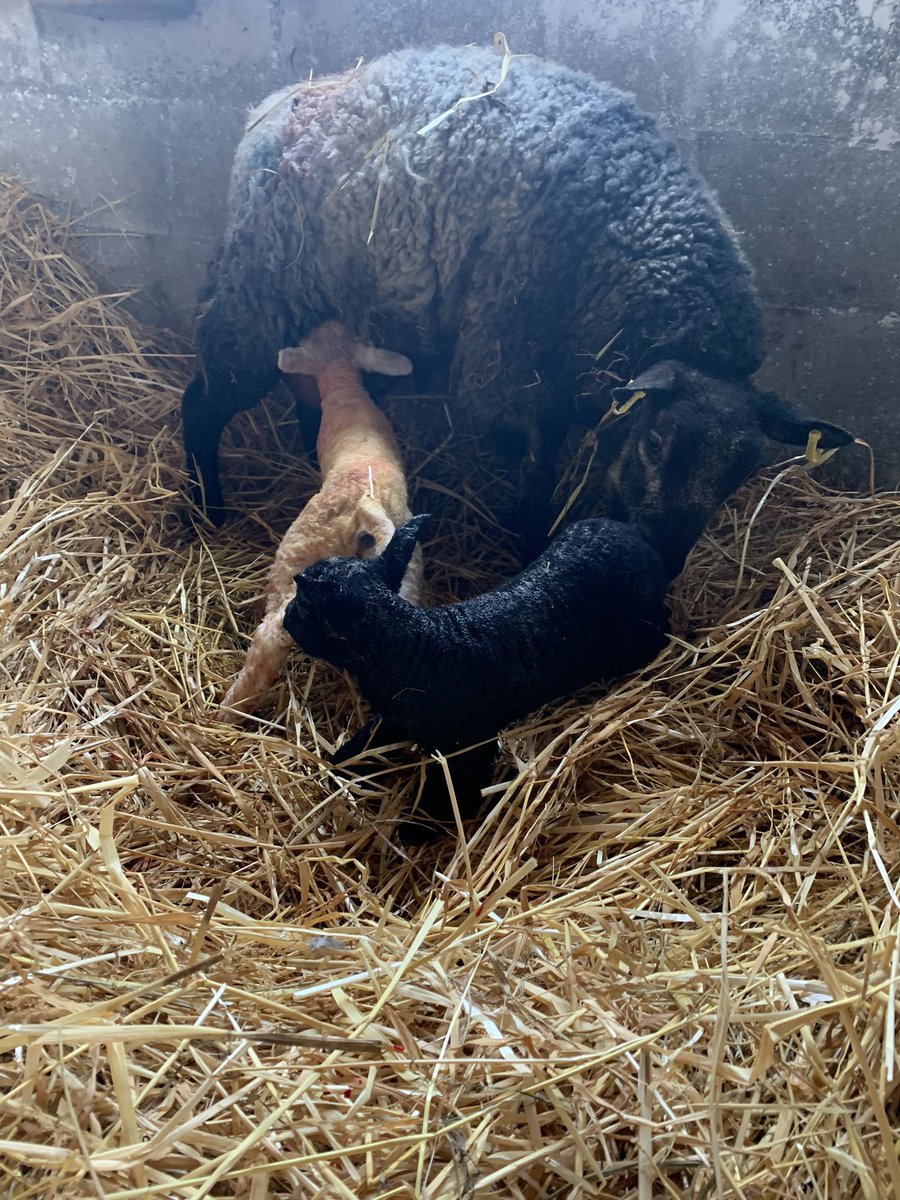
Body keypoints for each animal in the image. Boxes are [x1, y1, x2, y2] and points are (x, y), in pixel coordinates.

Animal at [181, 42, 853, 555]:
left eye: (742, 474)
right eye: (656, 444)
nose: (661, 556)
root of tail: (274, 108)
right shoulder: (513, 361)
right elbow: (537, 462)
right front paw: (530, 540)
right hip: (259, 290)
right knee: (202, 401)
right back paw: (204, 512)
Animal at [219, 320, 421, 721]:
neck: (346, 388)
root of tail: (367, 506)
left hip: (298, 556)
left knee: (272, 636)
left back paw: (232, 707)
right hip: (407, 578)